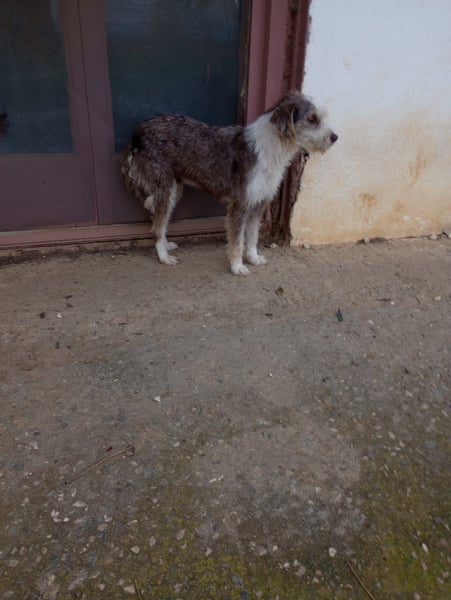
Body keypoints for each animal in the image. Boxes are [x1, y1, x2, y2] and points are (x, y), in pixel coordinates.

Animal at [120, 91, 338, 275]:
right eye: (312, 119)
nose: (335, 137)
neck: (272, 148)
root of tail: (138, 131)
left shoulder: (259, 203)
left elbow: (252, 236)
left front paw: (253, 258)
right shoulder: (239, 205)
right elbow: (238, 241)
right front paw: (237, 266)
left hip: (174, 190)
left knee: (160, 222)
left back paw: (166, 245)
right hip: (165, 189)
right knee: (157, 227)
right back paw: (163, 256)